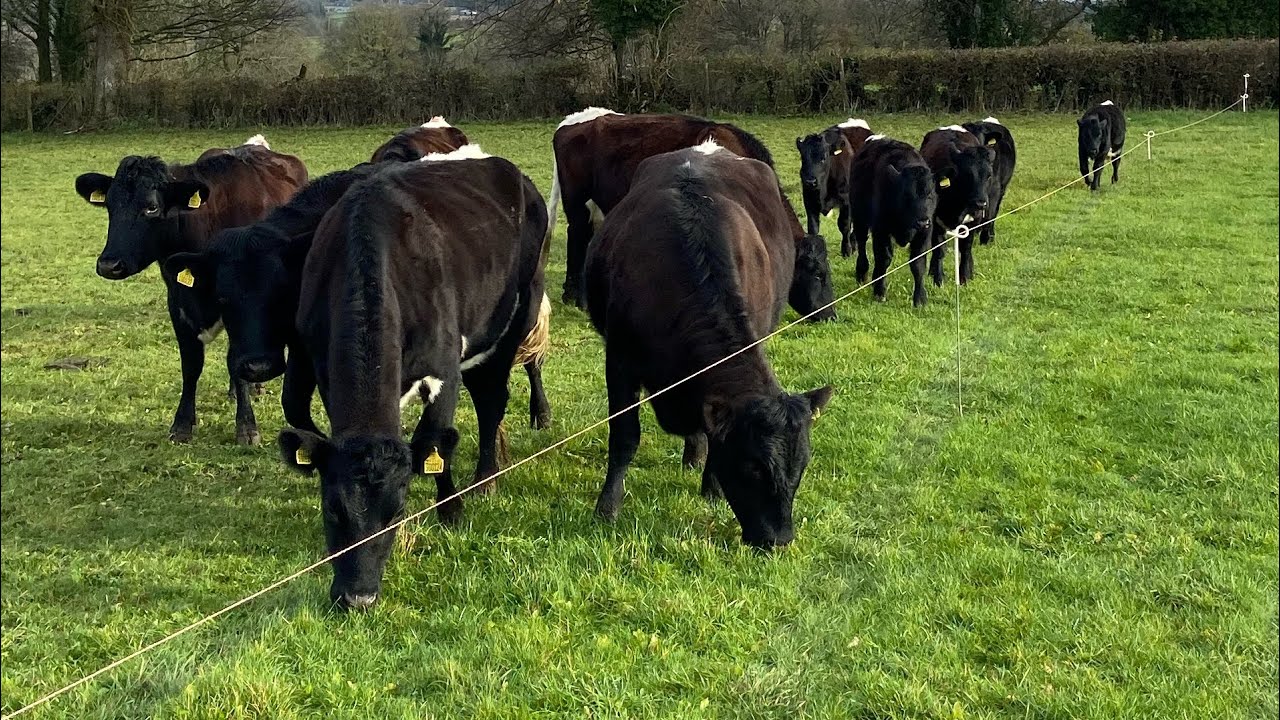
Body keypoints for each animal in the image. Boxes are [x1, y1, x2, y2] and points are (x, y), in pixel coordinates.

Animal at [74, 135, 308, 445]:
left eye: (151, 207)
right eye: (110, 205)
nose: (109, 264)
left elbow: (235, 360)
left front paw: (246, 427)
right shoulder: (177, 300)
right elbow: (191, 363)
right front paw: (182, 424)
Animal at [275, 146, 551, 610]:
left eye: (397, 512)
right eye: (332, 508)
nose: (358, 597)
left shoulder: (444, 371)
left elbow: (436, 439)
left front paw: (450, 510)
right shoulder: (325, 370)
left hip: (515, 314)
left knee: (492, 400)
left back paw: (484, 482)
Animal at [583, 140, 835, 550]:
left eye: (802, 465)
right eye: (751, 466)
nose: (779, 539)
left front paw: (712, 489)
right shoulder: (618, 359)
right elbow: (624, 436)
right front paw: (607, 508)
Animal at [847, 135, 938, 307]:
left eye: (930, 194)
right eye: (907, 196)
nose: (922, 222)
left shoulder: (924, 234)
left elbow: (918, 264)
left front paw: (920, 298)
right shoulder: (881, 229)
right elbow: (884, 258)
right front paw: (880, 291)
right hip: (859, 217)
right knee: (861, 242)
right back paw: (862, 273)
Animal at [920, 126, 995, 288]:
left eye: (989, 175)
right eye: (967, 174)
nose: (981, 203)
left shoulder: (974, 219)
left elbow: (966, 248)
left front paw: (964, 277)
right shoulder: (935, 219)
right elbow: (939, 249)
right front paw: (938, 280)